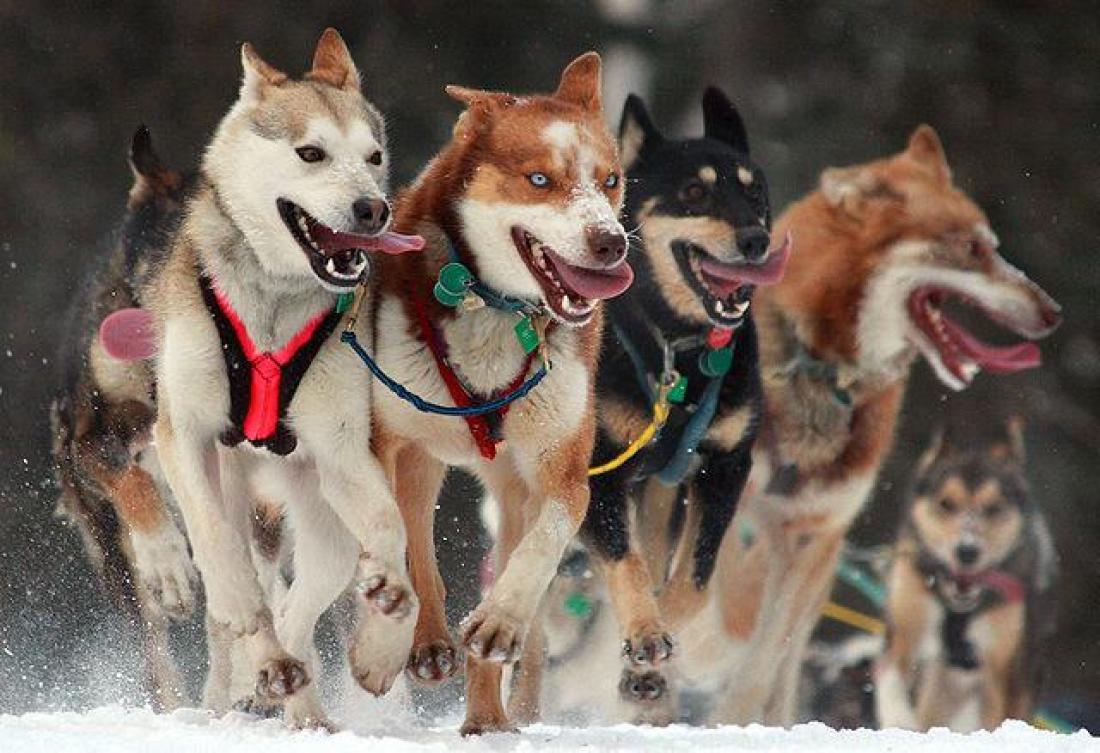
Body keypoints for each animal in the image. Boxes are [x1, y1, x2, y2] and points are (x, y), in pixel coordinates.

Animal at [369, 54, 633, 734]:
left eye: (611, 180)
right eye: (539, 178)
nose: (611, 242)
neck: (495, 308)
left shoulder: (561, 469)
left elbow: (542, 545)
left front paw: (499, 623)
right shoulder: (388, 445)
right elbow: (405, 557)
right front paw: (392, 646)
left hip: (510, 487)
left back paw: (488, 716)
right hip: (422, 460)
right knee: (417, 548)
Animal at [580, 87, 787, 703]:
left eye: (754, 190)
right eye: (695, 192)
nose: (756, 240)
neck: (677, 349)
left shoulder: (724, 468)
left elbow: (693, 581)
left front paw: (654, 653)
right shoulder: (598, 474)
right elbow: (626, 564)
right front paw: (646, 635)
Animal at [871, 417, 1060, 729]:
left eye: (993, 508)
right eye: (947, 503)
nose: (967, 551)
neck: (957, 610)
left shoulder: (1005, 672)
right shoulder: (904, 627)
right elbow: (891, 679)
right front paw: (900, 720)